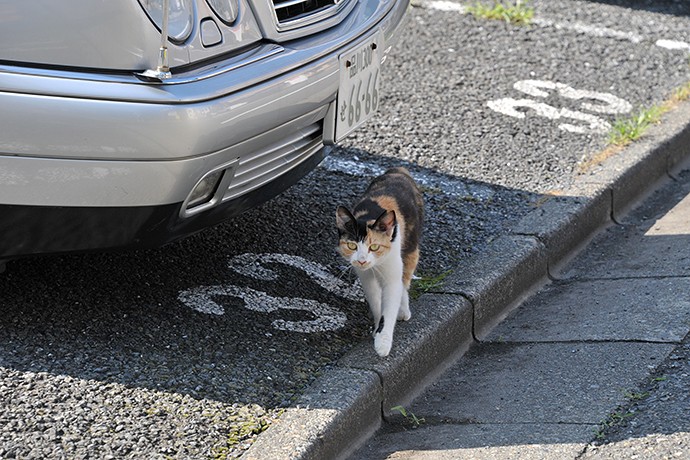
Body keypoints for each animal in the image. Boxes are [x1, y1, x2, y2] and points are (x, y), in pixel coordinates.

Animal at [336, 167, 422, 358]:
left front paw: (383, 342)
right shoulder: (365, 277)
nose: (362, 260)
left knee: (405, 280)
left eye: (374, 246)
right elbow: (376, 303)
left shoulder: (391, 272)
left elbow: (389, 306)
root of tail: (399, 170)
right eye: (352, 246)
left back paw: (403, 310)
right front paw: (376, 329)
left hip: (411, 246)